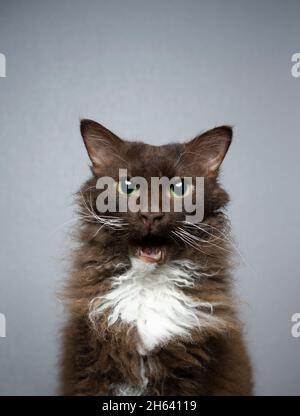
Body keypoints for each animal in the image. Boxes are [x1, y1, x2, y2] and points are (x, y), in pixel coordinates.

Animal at [59, 118, 252, 394]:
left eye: (178, 189)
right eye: (127, 187)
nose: (150, 214)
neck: (146, 287)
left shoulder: (189, 370)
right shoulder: (89, 362)